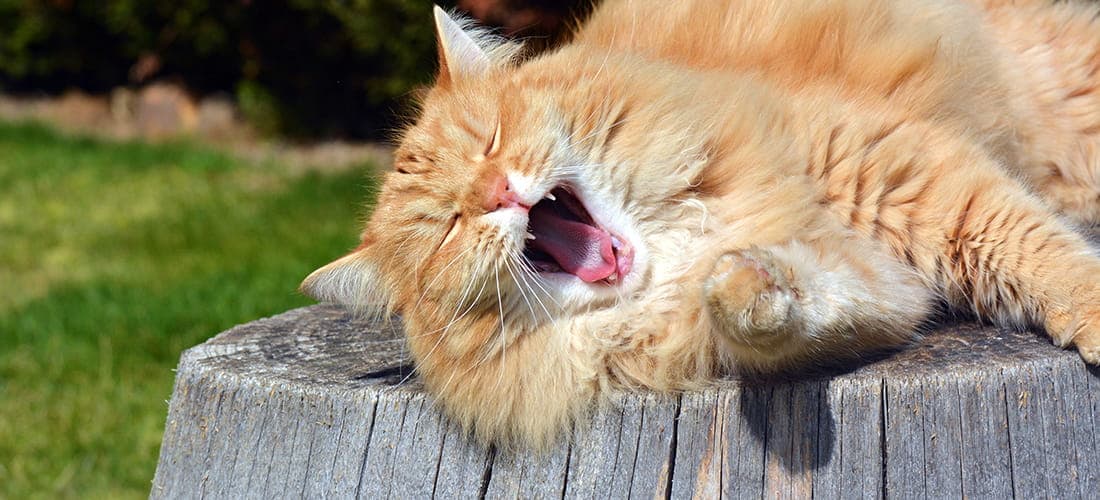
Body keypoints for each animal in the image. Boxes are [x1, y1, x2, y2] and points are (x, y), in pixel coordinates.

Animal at [301, 0, 1100, 446]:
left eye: (491, 141)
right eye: (448, 225)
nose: (497, 190)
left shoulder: (913, 173)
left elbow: (1039, 254)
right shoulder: (880, 286)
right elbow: (790, 310)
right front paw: (744, 290)